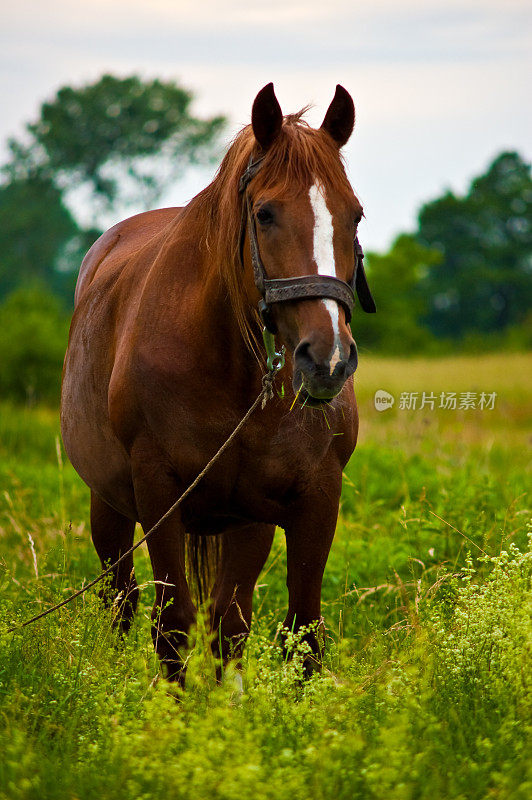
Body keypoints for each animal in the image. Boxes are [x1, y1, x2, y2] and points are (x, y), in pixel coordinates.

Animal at [61, 83, 374, 680]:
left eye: (355, 215)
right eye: (266, 213)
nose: (327, 359)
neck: (234, 373)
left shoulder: (312, 499)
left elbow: (296, 633)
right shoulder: (158, 494)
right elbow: (172, 628)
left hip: (241, 523)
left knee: (228, 621)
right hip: (109, 506)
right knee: (120, 602)